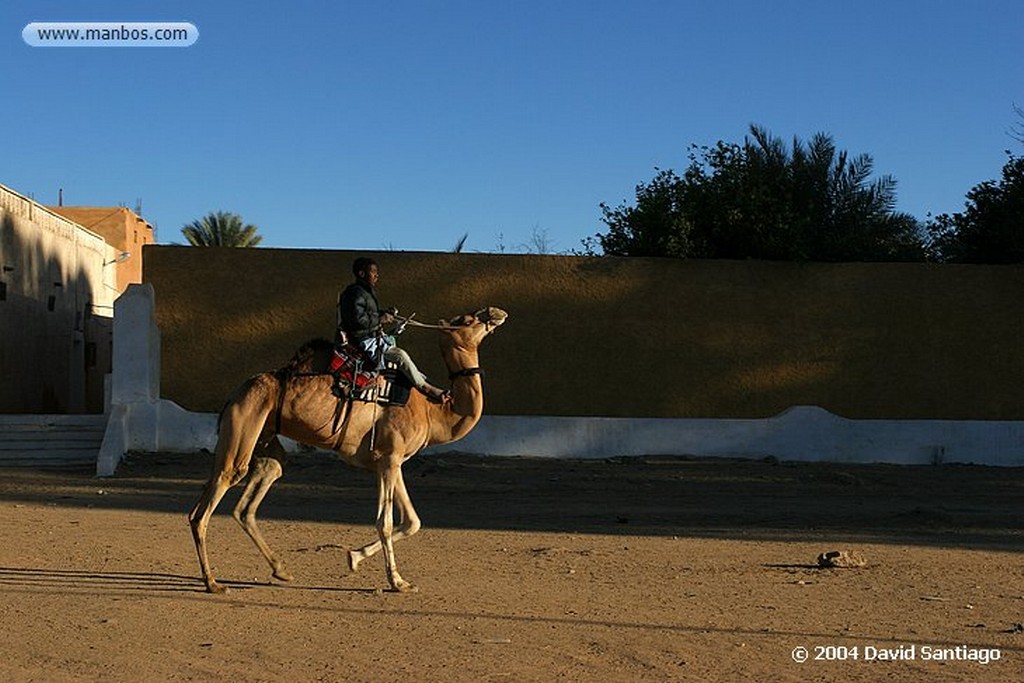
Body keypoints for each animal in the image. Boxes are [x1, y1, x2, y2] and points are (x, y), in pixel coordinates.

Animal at [188, 305, 507, 593]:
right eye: (467, 319)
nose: (496, 313)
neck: (432, 410)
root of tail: (235, 394)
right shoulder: (390, 459)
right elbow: (386, 523)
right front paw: (396, 581)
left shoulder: (389, 461)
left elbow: (412, 521)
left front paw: (355, 557)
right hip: (245, 423)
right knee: (216, 493)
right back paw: (212, 583)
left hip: (263, 435)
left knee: (260, 481)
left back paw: (280, 569)